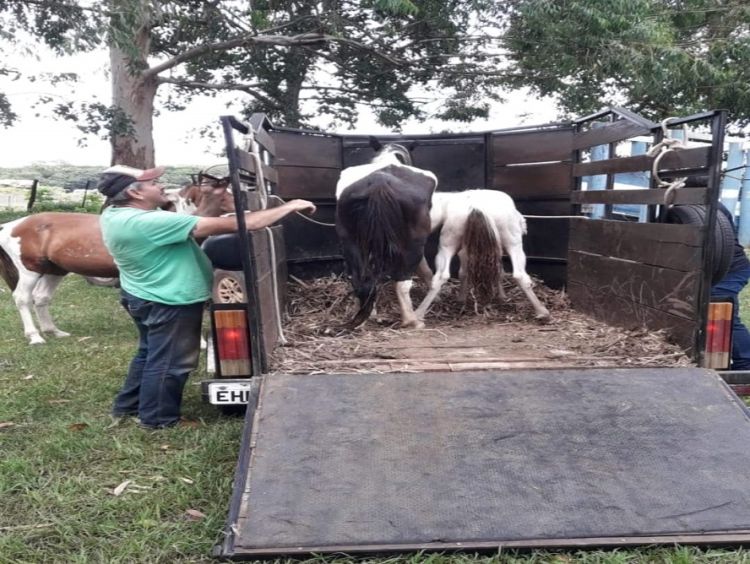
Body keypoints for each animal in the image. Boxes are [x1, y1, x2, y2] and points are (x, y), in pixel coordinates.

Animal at [0, 176, 234, 344]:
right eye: (225, 193)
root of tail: (11, 226)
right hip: (30, 271)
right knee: (22, 298)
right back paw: (35, 336)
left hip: (54, 270)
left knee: (41, 298)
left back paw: (54, 331)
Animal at [336, 138, 438, 328]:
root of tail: (380, 183)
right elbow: (425, 270)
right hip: (413, 243)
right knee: (403, 284)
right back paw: (411, 320)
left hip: (350, 241)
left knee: (361, 281)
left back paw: (363, 316)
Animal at [418, 189, 552, 322]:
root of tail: (476, 206)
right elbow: (500, 272)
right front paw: (502, 297)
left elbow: (466, 272)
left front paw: (462, 299)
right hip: (514, 244)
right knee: (519, 276)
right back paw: (542, 312)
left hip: (448, 243)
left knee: (440, 276)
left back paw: (419, 313)